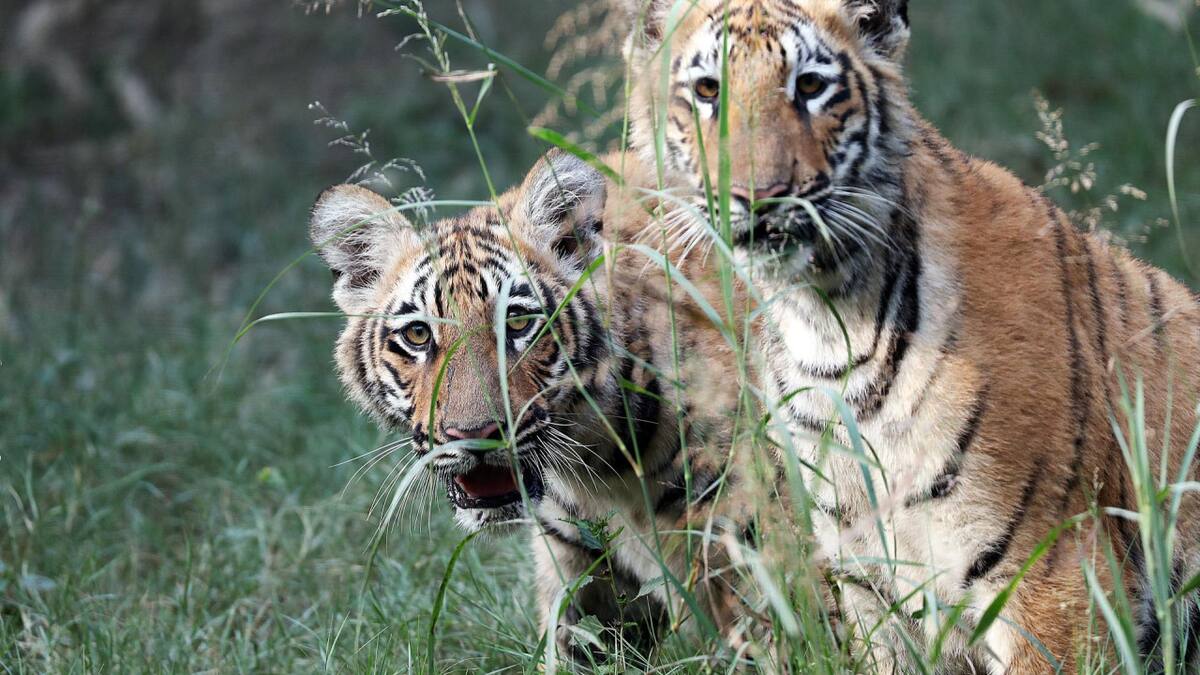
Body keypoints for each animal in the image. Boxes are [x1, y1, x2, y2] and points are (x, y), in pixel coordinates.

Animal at [621, 0, 1200, 671]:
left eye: (810, 86)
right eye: (708, 91)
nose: (758, 197)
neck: (827, 326)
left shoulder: (1055, 577)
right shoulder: (871, 584)